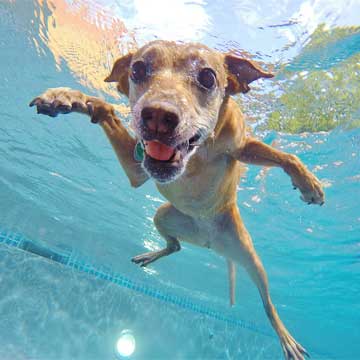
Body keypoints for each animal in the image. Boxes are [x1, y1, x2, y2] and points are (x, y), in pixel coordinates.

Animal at [30, 40, 324, 360]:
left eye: (208, 77)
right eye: (137, 69)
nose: (158, 117)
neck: (196, 154)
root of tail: (210, 243)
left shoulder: (242, 145)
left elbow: (285, 156)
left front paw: (308, 183)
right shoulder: (138, 170)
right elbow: (106, 109)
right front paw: (69, 98)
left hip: (251, 259)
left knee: (268, 304)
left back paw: (284, 336)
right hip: (163, 216)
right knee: (176, 245)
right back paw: (152, 254)